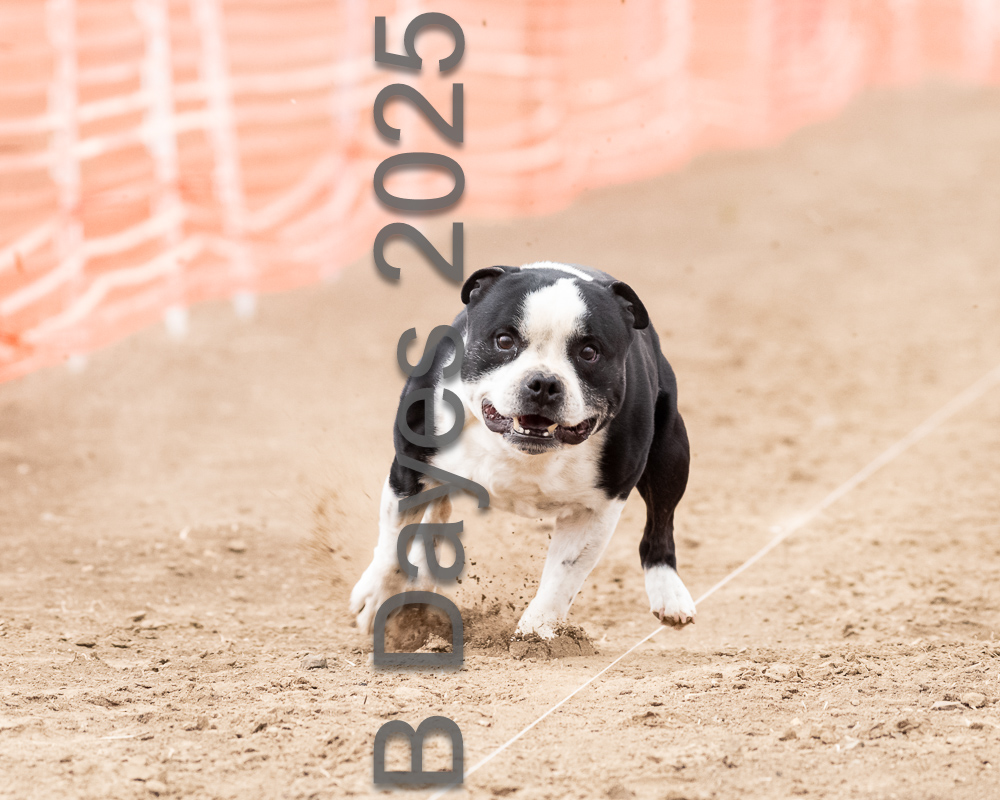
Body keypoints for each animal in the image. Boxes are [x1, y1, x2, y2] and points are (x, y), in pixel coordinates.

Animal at [350, 261, 695, 640]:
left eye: (589, 352)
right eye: (504, 341)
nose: (544, 382)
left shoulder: (596, 508)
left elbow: (562, 577)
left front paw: (536, 635)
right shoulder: (410, 469)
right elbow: (392, 542)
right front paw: (376, 597)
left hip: (671, 452)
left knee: (660, 522)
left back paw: (669, 593)